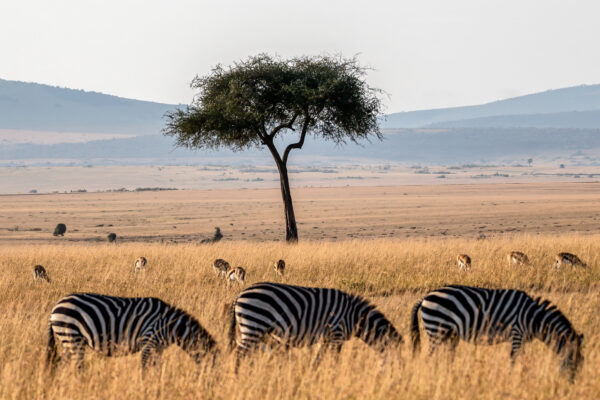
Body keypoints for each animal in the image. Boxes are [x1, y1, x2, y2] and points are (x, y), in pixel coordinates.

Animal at [47, 290, 217, 372]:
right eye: (214, 367)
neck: (169, 325)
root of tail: (56, 306)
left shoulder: (158, 348)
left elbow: (157, 370)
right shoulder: (149, 342)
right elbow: (144, 369)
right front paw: (145, 388)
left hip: (69, 340)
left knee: (62, 363)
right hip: (72, 337)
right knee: (78, 366)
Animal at [230, 282, 404, 366]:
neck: (354, 317)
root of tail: (239, 295)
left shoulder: (326, 338)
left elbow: (318, 360)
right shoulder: (337, 334)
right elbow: (334, 360)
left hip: (252, 329)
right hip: (254, 325)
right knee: (239, 356)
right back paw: (237, 377)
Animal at [410, 284, 584, 382]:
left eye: (581, 362)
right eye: (573, 361)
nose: (572, 384)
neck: (534, 318)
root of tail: (425, 296)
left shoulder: (522, 339)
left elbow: (522, 359)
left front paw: (523, 376)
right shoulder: (517, 332)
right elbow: (514, 359)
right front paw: (512, 379)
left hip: (449, 334)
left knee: (446, 357)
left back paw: (448, 375)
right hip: (436, 329)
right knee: (430, 357)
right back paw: (432, 376)